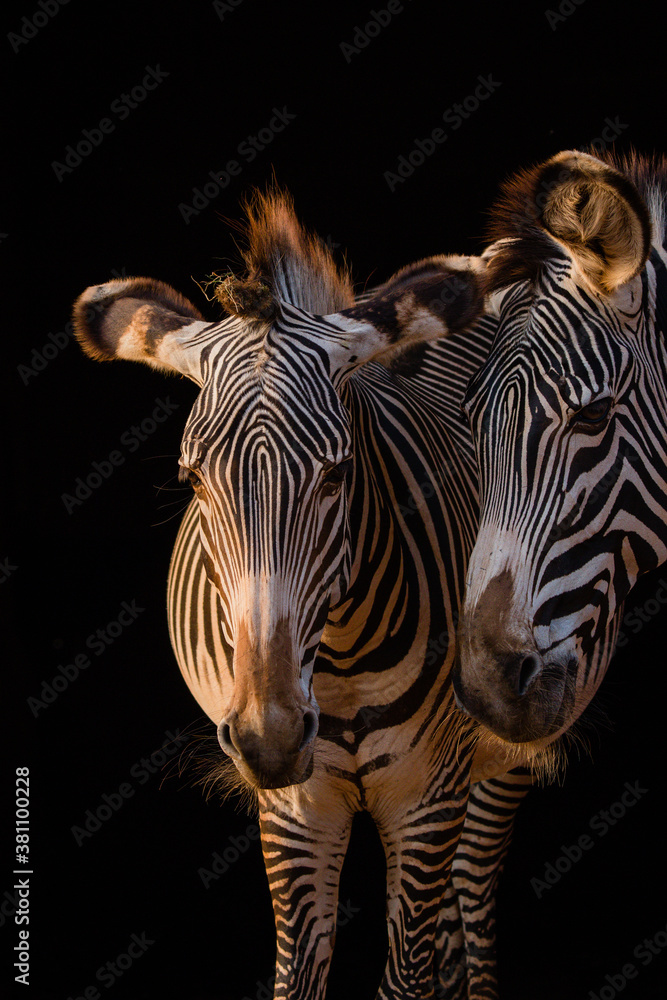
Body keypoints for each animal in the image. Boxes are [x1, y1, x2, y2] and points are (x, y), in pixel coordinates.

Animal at [72, 190, 518, 999]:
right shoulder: (294, 813)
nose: (270, 740)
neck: (336, 666)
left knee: (472, 894)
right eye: (192, 482)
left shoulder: (426, 797)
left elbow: (405, 978)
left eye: (336, 475)